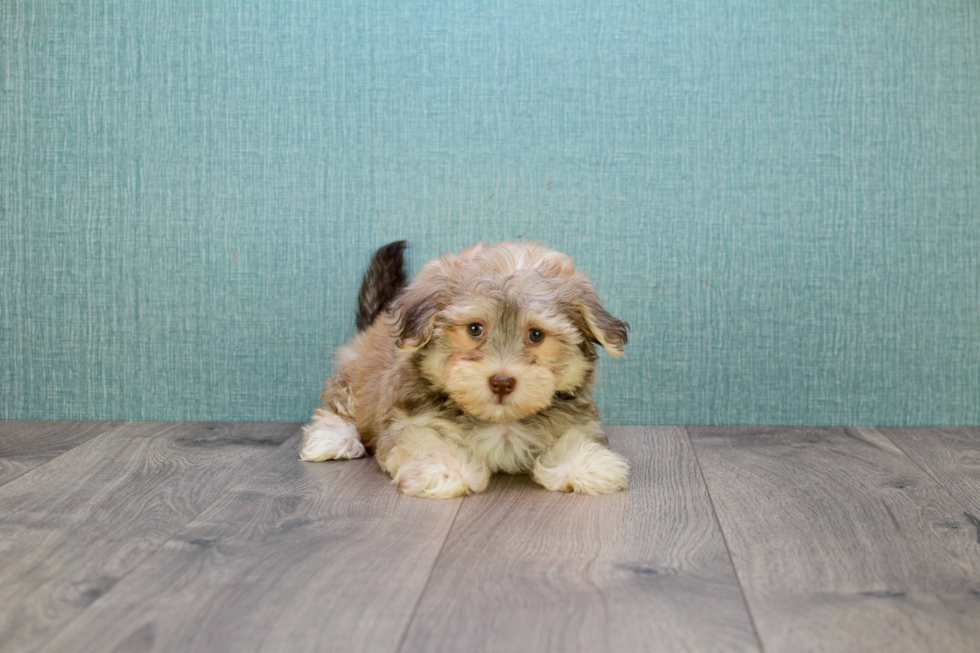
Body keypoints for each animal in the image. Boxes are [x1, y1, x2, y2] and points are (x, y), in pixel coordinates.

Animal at [298, 239, 628, 500]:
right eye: (474, 329)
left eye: (536, 335)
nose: (502, 381)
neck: (500, 422)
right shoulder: (408, 421)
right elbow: (422, 441)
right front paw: (444, 468)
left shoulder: (576, 419)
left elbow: (576, 436)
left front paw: (585, 464)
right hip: (354, 377)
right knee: (336, 408)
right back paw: (333, 438)